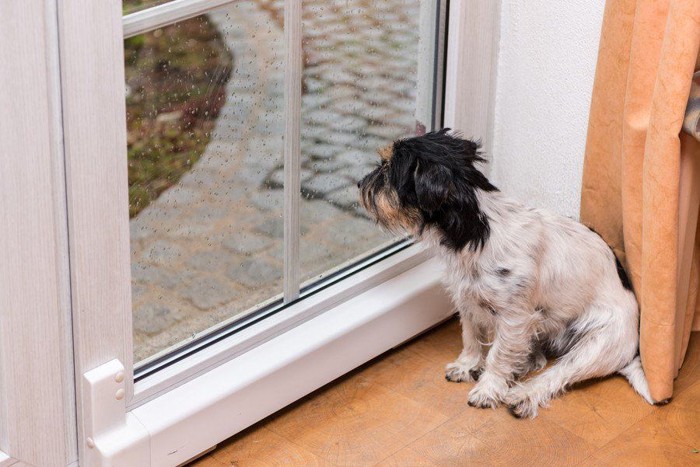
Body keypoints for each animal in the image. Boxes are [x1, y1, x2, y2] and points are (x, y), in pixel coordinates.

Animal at [358, 130, 652, 418]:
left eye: (387, 169)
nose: (360, 183)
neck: (478, 232)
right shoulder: (467, 300)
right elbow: (470, 337)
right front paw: (467, 366)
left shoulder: (514, 318)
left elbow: (498, 355)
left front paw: (488, 389)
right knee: (537, 357)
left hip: (595, 345)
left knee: (557, 374)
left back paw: (523, 395)